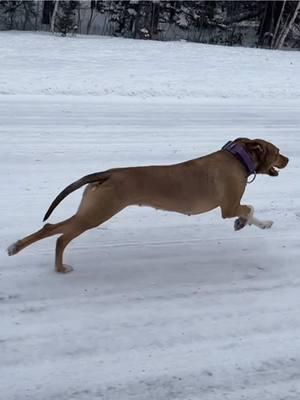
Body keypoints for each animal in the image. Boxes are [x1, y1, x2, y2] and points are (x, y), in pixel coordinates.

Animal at [7, 138, 288, 272]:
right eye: (277, 151)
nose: (288, 159)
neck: (238, 159)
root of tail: (107, 174)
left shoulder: (229, 206)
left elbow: (248, 211)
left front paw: (246, 223)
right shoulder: (228, 206)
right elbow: (249, 209)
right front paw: (256, 222)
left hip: (90, 208)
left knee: (51, 228)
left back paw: (15, 247)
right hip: (96, 213)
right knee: (60, 237)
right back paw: (58, 267)